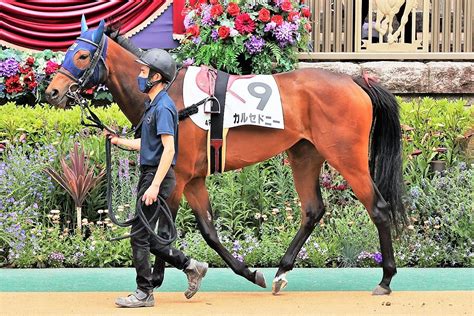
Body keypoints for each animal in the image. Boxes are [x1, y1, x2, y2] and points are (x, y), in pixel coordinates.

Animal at [45, 22, 408, 296]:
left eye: (81, 55)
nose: (52, 91)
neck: (169, 94)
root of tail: (356, 81)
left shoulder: (175, 177)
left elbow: (163, 229)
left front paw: (156, 279)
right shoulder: (193, 179)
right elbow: (208, 231)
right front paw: (246, 272)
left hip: (347, 157)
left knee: (378, 207)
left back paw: (386, 279)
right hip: (304, 154)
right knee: (312, 210)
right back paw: (280, 272)